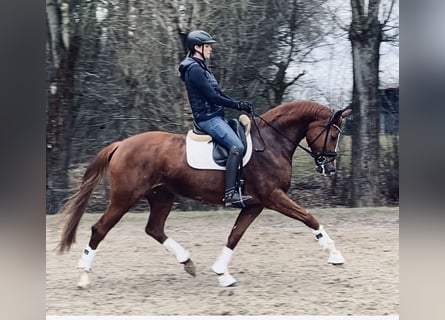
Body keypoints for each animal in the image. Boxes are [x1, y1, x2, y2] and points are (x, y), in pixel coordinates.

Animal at [58, 100, 350, 288]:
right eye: (333, 135)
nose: (330, 168)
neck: (271, 143)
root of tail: (121, 145)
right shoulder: (273, 197)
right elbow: (309, 218)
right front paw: (335, 256)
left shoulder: (255, 204)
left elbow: (235, 236)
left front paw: (222, 274)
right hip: (124, 198)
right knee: (100, 229)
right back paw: (83, 276)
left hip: (162, 197)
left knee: (154, 229)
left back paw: (187, 262)